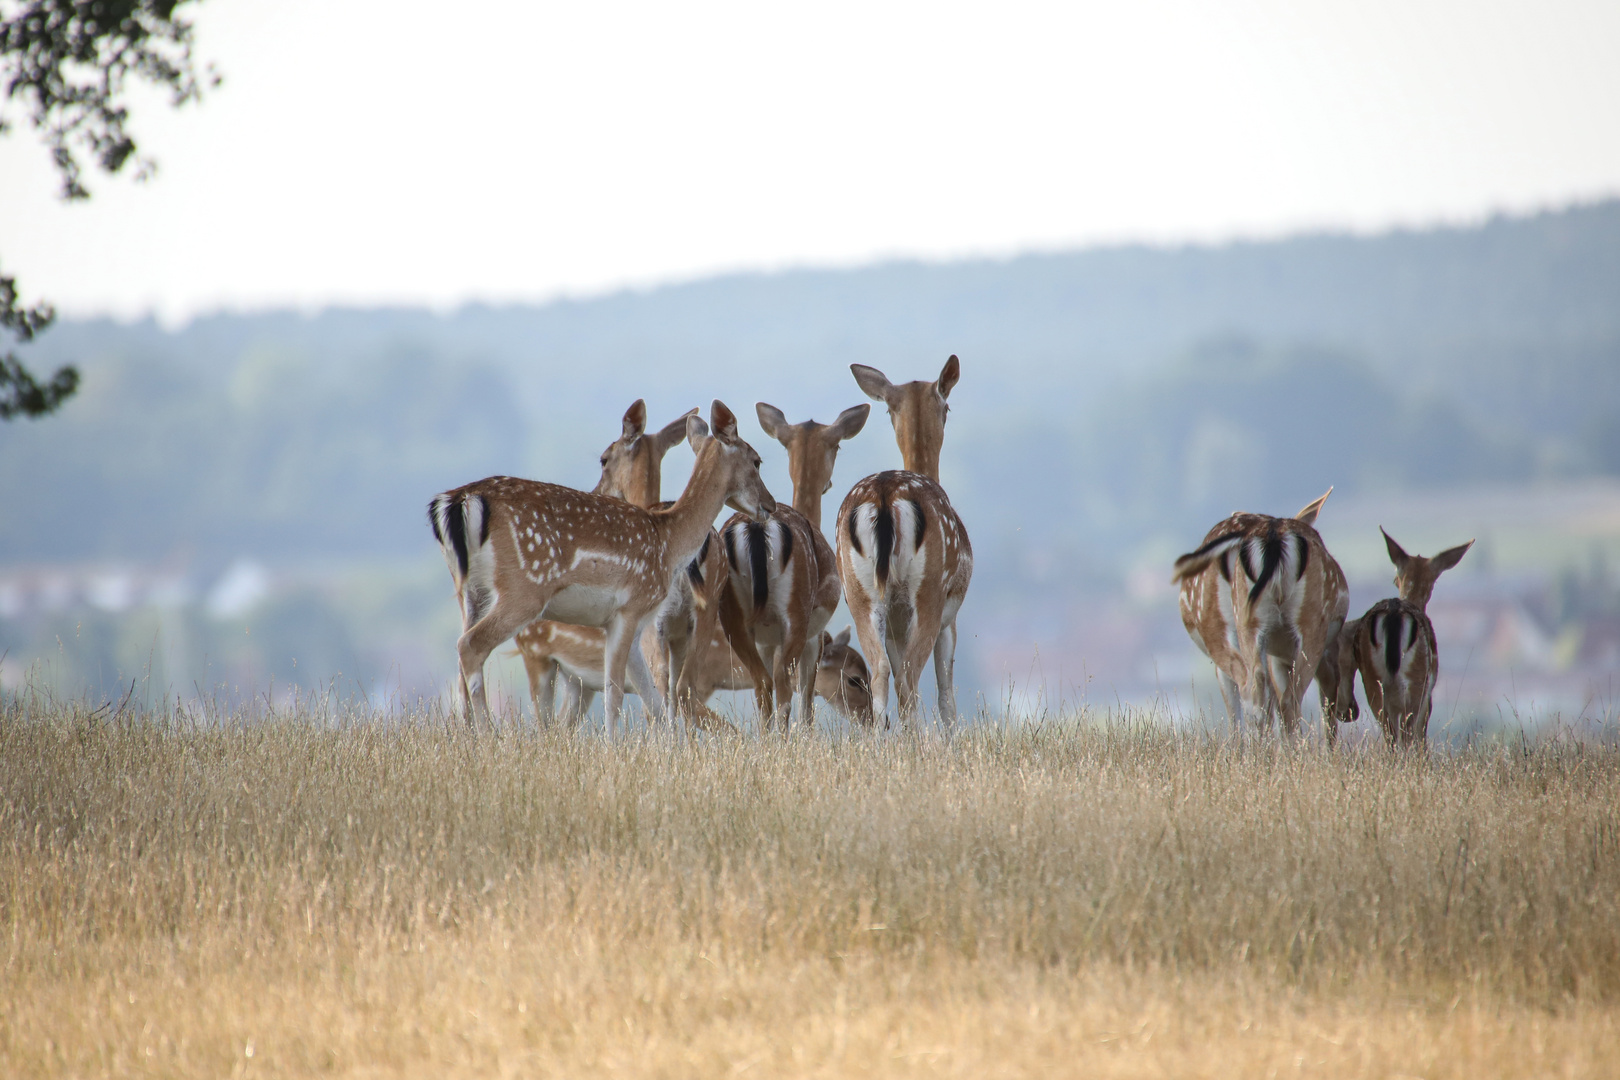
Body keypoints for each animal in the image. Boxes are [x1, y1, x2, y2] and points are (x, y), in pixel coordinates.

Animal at [427, 403, 774, 735]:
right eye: (757, 460)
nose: (769, 506)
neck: (669, 542)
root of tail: (457, 501)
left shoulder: (629, 623)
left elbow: (652, 701)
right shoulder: (630, 608)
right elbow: (618, 693)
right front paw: (613, 746)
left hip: (470, 591)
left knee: (461, 660)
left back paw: (466, 736)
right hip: (523, 589)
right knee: (471, 645)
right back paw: (489, 735)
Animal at [725, 401, 874, 731]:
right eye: (837, 445)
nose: (874, 721)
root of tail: (756, 528)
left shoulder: (766, 640)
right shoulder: (813, 638)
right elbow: (807, 700)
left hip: (735, 621)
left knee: (762, 683)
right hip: (795, 616)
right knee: (783, 688)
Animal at [835, 359, 972, 731]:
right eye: (948, 406)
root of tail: (885, 496)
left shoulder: (896, 625)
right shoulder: (949, 617)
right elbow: (945, 693)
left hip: (859, 593)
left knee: (882, 671)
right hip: (929, 592)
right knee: (910, 678)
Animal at [1347, 527, 1477, 748]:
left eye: (1395, 579)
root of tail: (1393, 613)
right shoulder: (1428, 694)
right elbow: (1420, 735)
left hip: (1373, 681)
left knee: (1389, 733)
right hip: (1417, 680)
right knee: (1407, 734)